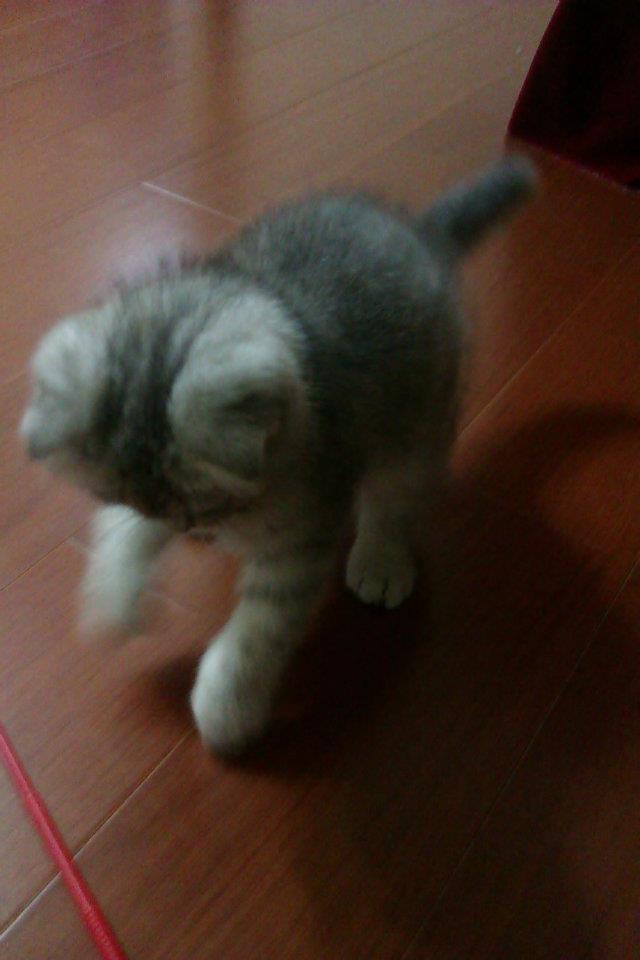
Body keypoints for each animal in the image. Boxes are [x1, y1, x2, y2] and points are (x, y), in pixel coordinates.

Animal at [21, 157, 535, 755]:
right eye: (144, 504)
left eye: (209, 505)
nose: (193, 529)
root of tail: (418, 230)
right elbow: (121, 535)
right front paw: (113, 598)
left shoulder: (301, 539)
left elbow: (260, 633)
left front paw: (227, 706)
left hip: (417, 422)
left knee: (395, 497)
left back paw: (382, 558)